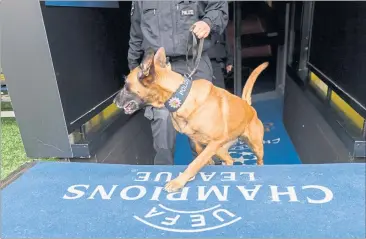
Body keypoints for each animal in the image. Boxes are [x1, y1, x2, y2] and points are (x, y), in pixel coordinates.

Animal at [114, 46, 268, 192]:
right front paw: (209, 162)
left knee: (259, 160)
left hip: (256, 146)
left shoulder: (214, 142)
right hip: (221, 147)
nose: (114, 101)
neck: (181, 97)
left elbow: (196, 163)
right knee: (229, 159)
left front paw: (178, 182)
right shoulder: (201, 141)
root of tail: (248, 106)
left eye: (126, 86)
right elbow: (200, 152)